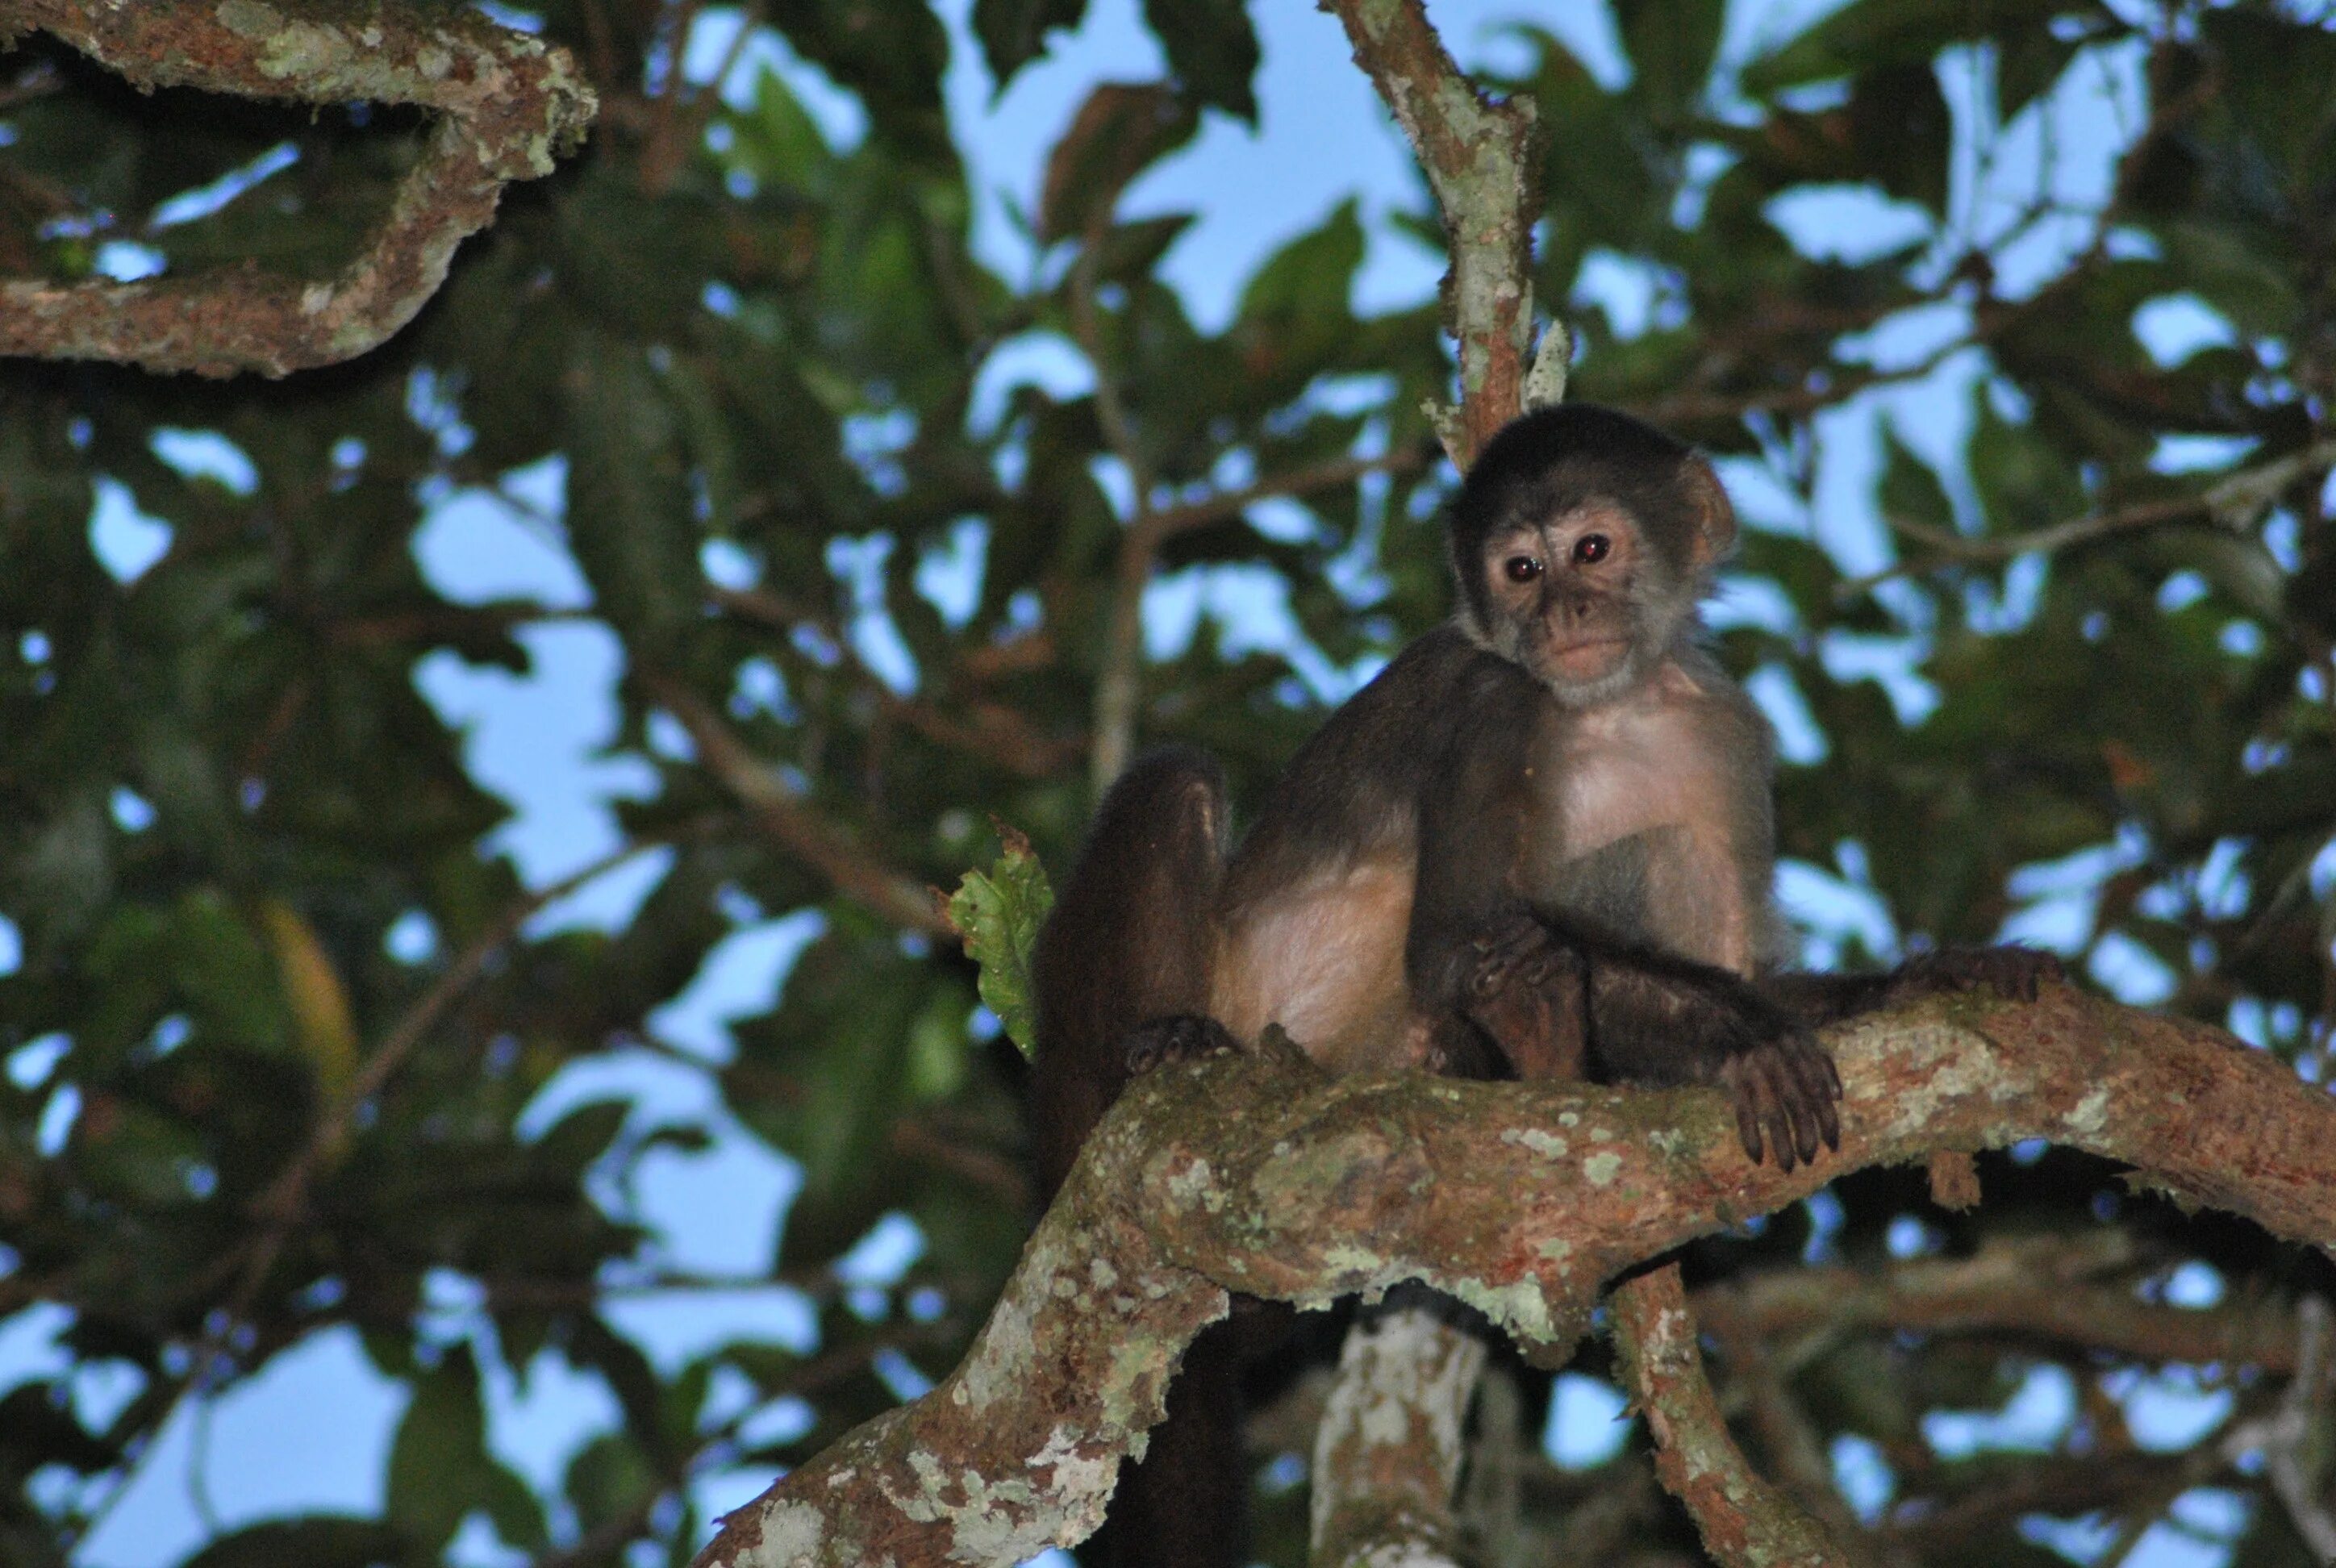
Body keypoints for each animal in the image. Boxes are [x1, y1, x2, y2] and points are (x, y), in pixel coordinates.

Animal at [1032, 404, 2055, 1568]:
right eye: (1519, 570)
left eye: (1592, 551)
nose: (1561, 609)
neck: (1610, 710)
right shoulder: (1495, 699)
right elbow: (1450, 947)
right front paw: (1740, 1036)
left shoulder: (1720, 730)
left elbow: (1731, 957)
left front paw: (1938, 972)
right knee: (1177, 785)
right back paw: (1180, 1048)